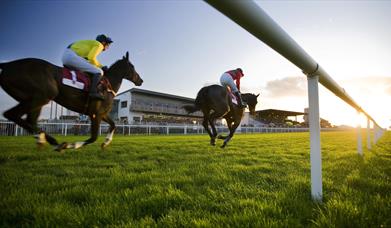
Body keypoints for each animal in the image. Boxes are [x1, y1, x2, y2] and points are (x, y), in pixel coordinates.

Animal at [0, 51, 144, 151]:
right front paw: (74, 145)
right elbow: (93, 137)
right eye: (132, 66)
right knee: (12, 115)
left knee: (29, 120)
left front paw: (106, 142)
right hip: (42, 96)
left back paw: (45, 139)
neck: (107, 86)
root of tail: (8, 64)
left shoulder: (102, 114)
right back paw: (52, 141)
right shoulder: (95, 114)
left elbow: (113, 125)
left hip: (35, 100)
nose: (141, 80)